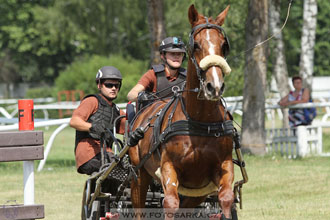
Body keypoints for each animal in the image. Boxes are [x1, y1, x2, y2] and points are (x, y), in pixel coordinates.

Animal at [129, 4, 235, 219]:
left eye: (223, 45)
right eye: (196, 45)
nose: (214, 86)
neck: (200, 121)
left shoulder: (222, 167)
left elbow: (227, 198)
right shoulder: (168, 167)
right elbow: (170, 203)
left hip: (197, 191)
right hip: (139, 175)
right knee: (139, 207)